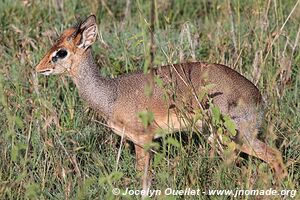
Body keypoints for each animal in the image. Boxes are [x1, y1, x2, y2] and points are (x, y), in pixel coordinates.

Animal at [36, 15, 288, 186]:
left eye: (61, 52)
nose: (38, 68)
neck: (111, 94)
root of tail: (257, 96)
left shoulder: (143, 139)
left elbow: (143, 177)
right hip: (219, 136)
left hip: (236, 135)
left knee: (269, 156)